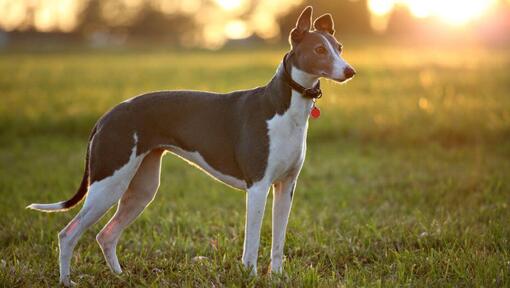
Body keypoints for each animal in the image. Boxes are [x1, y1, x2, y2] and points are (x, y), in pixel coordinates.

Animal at [26, 6, 354, 286]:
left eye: (339, 47)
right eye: (319, 50)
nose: (350, 71)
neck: (284, 106)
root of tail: (107, 116)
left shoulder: (286, 187)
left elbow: (278, 241)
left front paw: (277, 277)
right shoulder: (258, 187)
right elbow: (251, 241)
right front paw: (248, 276)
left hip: (141, 188)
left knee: (106, 235)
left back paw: (120, 277)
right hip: (109, 183)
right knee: (68, 234)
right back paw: (66, 280)